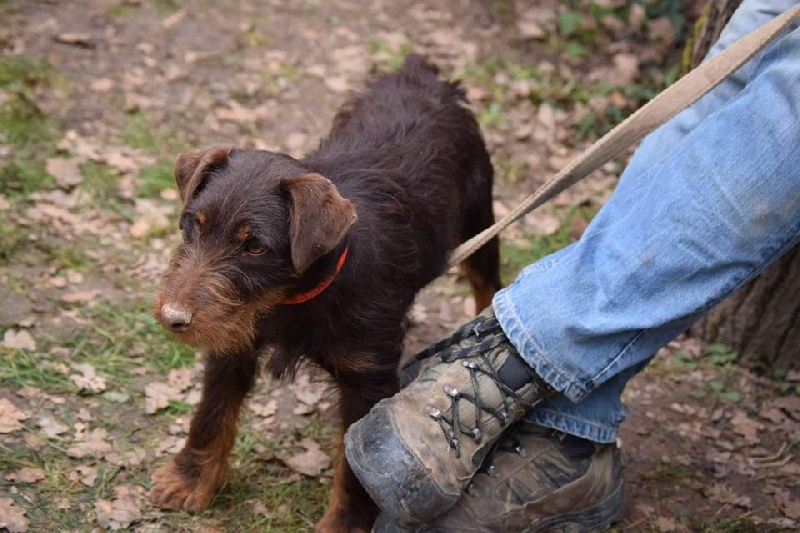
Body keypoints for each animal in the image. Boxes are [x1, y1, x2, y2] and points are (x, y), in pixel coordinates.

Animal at [150, 56, 500, 528]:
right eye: (194, 224)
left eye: (255, 246)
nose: (174, 318)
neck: (290, 300)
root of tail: (423, 75)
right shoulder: (233, 342)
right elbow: (212, 411)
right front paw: (189, 478)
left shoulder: (366, 378)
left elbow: (356, 462)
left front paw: (346, 523)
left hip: (480, 216)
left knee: (488, 282)